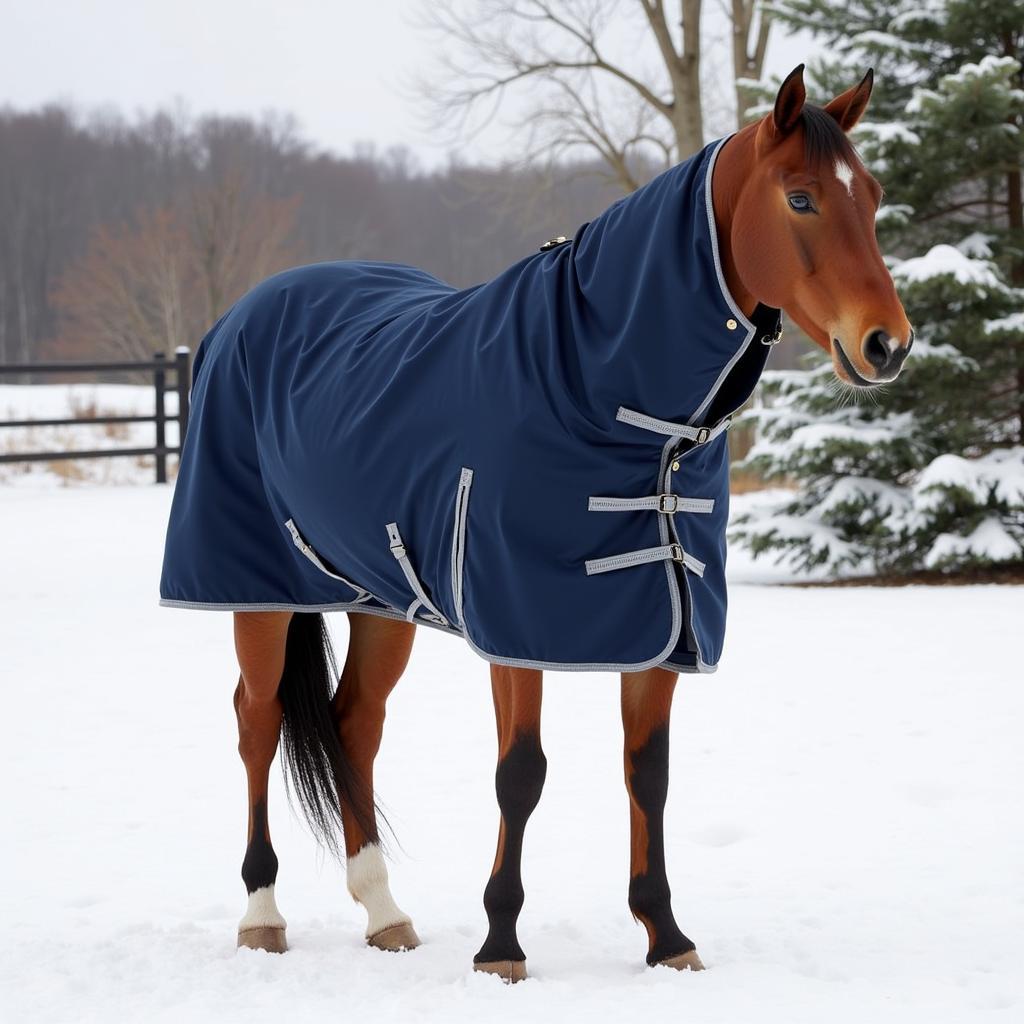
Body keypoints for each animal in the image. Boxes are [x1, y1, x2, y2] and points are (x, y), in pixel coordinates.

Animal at [163, 66, 917, 983]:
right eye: (801, 198)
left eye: (871, 196)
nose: (887, 344)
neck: (598, 385)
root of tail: (244, 314)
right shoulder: (515, 627)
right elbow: (520, 774)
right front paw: (500, 947)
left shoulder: (662, 626)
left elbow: (648, 774)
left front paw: (667, 936)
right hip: (257, 590)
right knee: (258, 720)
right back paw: (262, 914)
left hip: (382, 602)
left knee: (354, 723)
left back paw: (384, 910)